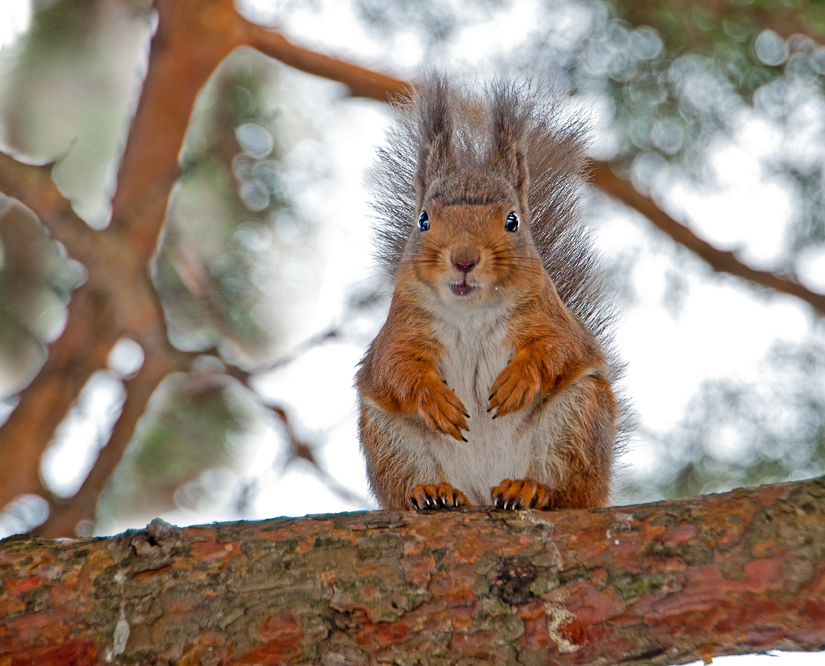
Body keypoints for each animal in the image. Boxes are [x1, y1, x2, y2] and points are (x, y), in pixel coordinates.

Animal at [356, 78, 624, 510]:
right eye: (423, 220)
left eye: (512, 221)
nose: (464, 259)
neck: (470, 312)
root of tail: (483, 490)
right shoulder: (401, 330)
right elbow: (395, 370)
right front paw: (434, 399)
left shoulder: (550, 317)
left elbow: (558, 349)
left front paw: (520, 379)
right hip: (390, 440)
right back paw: (433, 492)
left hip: (577, 420)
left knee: (568, 489)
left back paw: (529, 489)